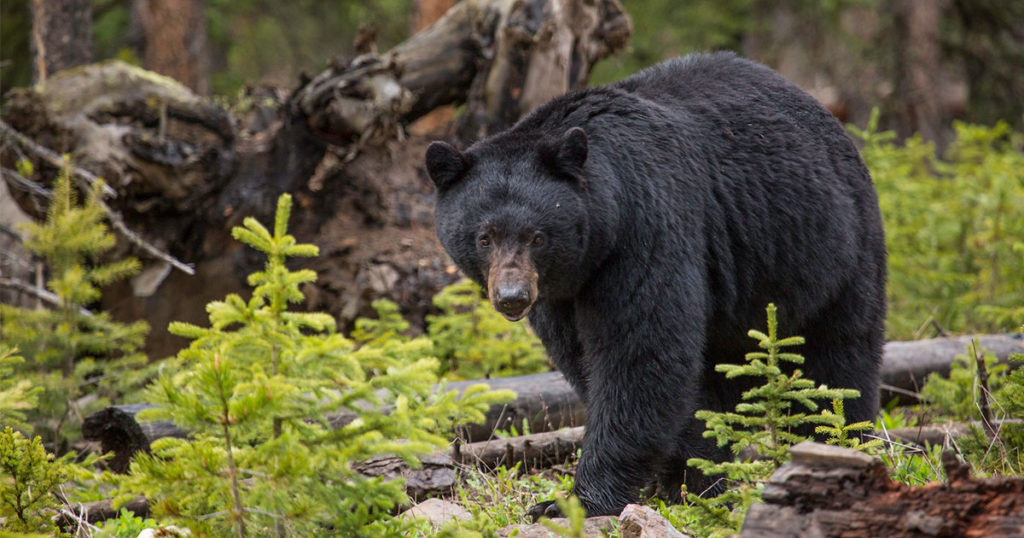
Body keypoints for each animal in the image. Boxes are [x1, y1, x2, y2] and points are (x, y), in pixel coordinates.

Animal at [425, 51, 886, 518]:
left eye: (537, 236)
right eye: (484, 237)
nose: (512, 298)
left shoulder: (646, 227)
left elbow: (641, 355)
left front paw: (576, 500)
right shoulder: (561, 292)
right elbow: (586, 358)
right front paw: (689, 475)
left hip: (832, 251)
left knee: (837, 359)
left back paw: (836, 442)